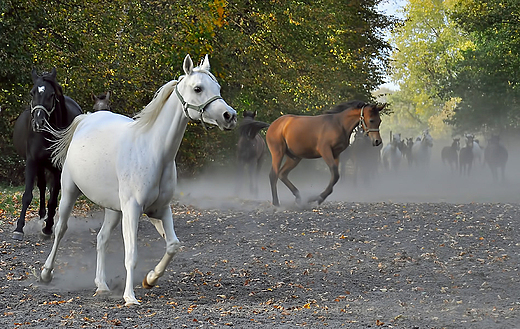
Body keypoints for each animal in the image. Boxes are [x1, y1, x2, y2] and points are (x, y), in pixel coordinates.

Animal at [11, 68, 82, 240]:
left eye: (51, 94)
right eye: (32, 93)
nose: (38, 122)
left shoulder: (58, 168)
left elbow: (54, 199)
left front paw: (48, 227)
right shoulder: (32, 161)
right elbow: (28, 195)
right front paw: (19, 228)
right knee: (42, 186)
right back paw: (41, 213)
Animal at [40, 54, 238, 304]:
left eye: (218, 88)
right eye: (198, 88)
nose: (229, 116)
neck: (154, 151)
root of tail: (86, 119)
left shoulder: (160, 209)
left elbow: (173, 245)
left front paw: (150, 279)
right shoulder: (133, 210)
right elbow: (131, 255)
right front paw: (130, 297)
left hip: (114, 209)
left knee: (102, 239)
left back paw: (102, 286)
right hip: (69, 192)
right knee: (60, 229)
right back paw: (46, 274)